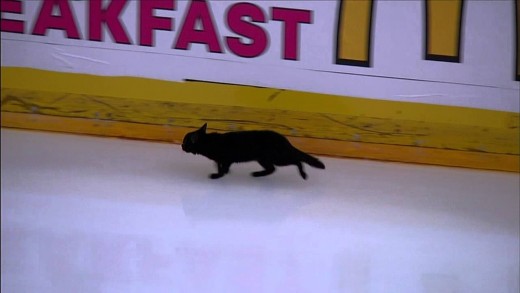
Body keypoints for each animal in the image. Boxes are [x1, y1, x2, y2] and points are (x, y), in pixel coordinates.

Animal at [181, 122, 322, 179]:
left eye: (185, 142)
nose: (181, 146)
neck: (209, 142)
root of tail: (285, 140)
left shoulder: (226, 158)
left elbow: (222, 168)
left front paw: (217, 176)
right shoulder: (221, 160)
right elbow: (219, 166)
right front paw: (223, 172)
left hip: (279, 158)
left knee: (297, 160)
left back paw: (303, 175)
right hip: (264, 159)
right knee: (272, 169)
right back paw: (257, 174)